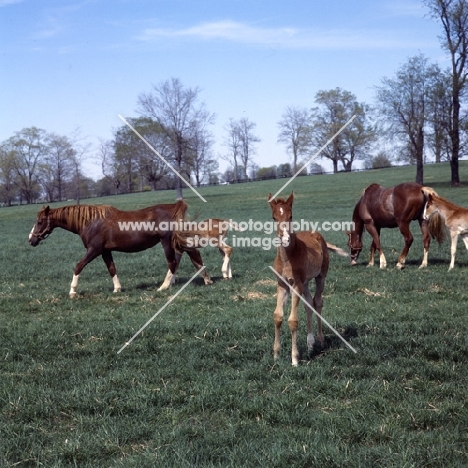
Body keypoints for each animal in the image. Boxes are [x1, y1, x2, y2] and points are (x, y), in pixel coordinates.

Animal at [28, 200, 210, 296]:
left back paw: (164, 286)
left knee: (173, 262)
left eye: (40, 221)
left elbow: (78, 266)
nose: (31, 240)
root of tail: (174, 206)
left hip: (167, 242)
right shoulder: (105, 251)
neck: (90, 221)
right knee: (187, 256)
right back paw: (202, 280)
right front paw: (117, 289)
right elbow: (112, 269)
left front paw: (72, 291)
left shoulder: (94, 250)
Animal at [266, 191, 348, 366]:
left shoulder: (296, 285)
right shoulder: (282, 284)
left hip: (320, 277)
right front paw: (276, 355)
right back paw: (310, 343)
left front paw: (295, 358)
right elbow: (277, 316)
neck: (287, 257)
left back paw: (320, 340)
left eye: (290, 216)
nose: (284, 238)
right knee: (309, 303)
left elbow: (293, 320)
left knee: (318, 302)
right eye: (274, 217)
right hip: (305, 283)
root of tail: (316, 234)